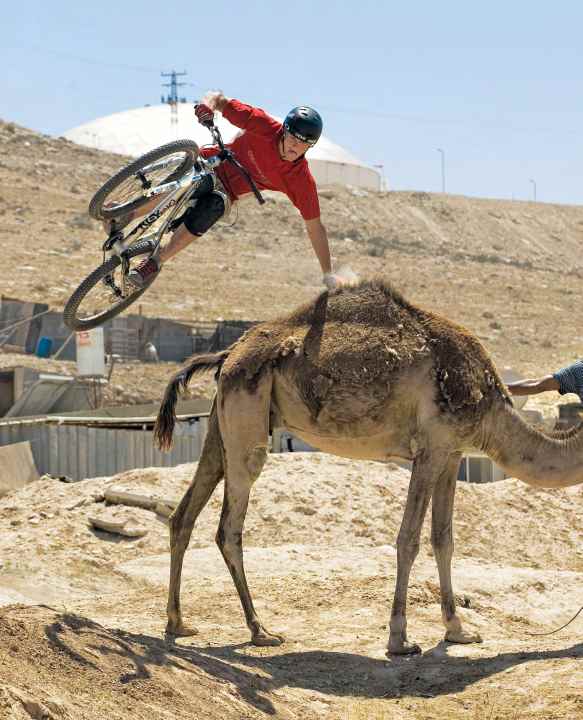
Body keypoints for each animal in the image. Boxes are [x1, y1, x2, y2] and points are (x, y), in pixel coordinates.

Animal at [154, 278, 583, 655]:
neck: (491, 410)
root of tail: (228, 354)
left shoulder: (452, 454)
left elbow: (444, 539)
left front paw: (458, 631)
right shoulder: (431, 449)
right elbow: (408, 539)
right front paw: (400, 640)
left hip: (221, 422)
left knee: (184, 513)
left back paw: (178, 623)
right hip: (248, 418)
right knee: (229, 525)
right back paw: (260, 630)